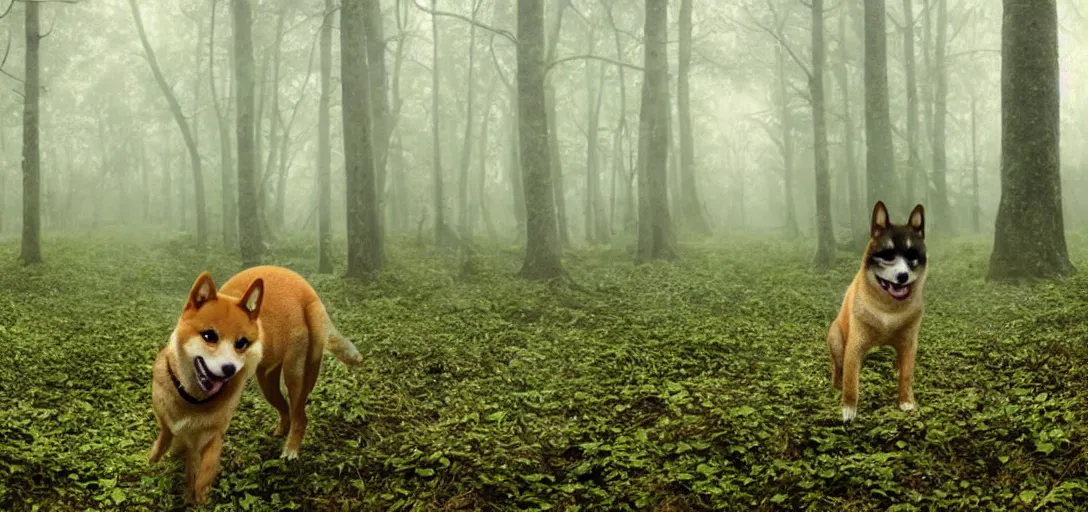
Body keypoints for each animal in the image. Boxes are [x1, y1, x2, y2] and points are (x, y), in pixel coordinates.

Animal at [149, 268, 363, 504]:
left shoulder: (213, 436)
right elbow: (168, 436)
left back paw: (290, 450)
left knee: (300, 416)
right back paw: (280, 432)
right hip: (268, 384)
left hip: (296, 375)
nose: (230, 369)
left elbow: (203, 476)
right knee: (285, 409)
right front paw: (158, 457)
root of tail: (303, 284)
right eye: (209, 336)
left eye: (242, 343)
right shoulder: (168, 417)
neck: (192, 397)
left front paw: (199, 498)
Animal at [826, 202, 922, 423]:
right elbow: (851, 380)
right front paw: (849, 410)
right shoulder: (854, 345)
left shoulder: (909, 343)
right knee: (838, 367)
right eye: (887, 255)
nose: (903, 276)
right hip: (836, 339)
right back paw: (836, 385)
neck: (888, 308)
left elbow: (907, 375)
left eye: (912, 256)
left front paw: (907, 403)